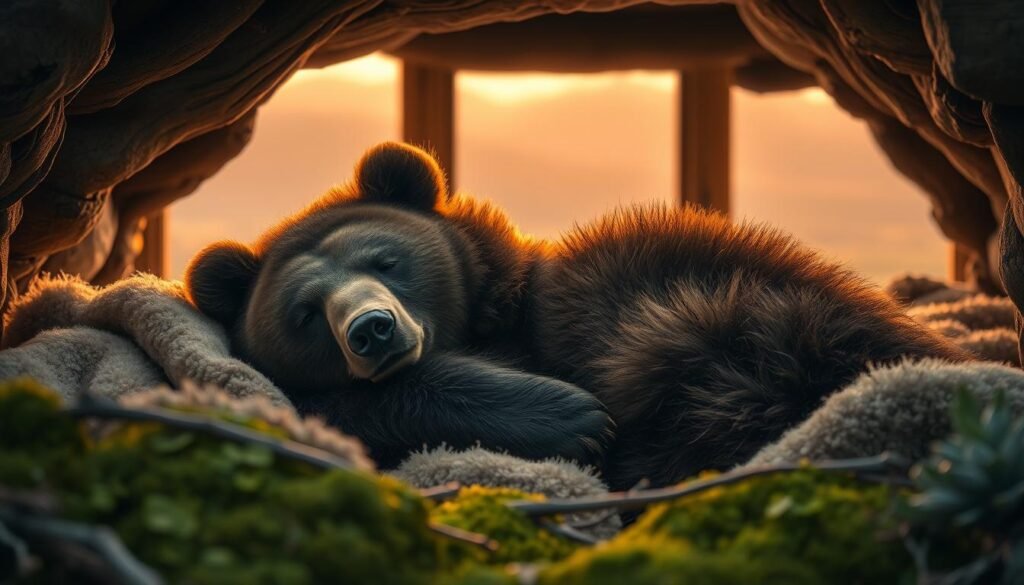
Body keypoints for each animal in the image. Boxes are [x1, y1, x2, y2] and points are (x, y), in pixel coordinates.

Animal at [186, 141, 972, 489]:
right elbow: (349, 405)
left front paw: (583, 416)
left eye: (386, 260)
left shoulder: (595, 289)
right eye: (305, 310)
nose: (374, 329)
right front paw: (570, 416)